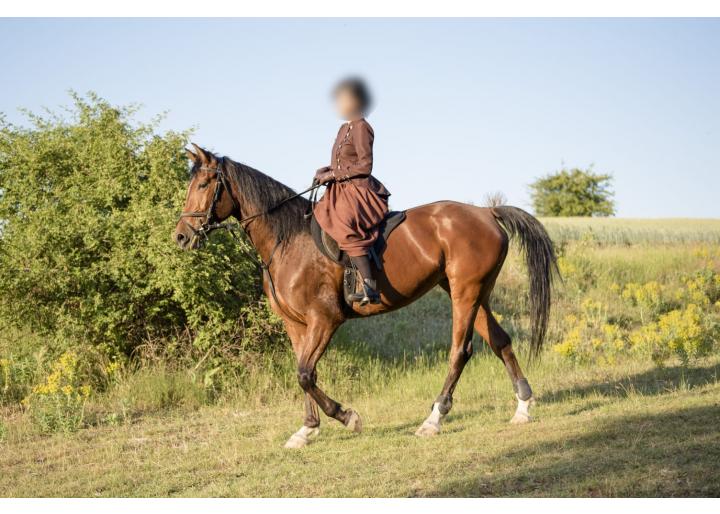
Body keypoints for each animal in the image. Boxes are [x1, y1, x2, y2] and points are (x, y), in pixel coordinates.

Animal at [173, 142, 556, 446]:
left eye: (205, 184)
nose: (181, 236)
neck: (287, 240)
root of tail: (486, 212)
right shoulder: (296, 325)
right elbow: (301, 373)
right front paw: (306, 429)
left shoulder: (325, 319)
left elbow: (305, 374)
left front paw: (347, 417)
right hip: (472, 293)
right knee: (500, 341)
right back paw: (523, 407)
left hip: (465, 293)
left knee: (460, 351)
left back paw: (433, 419)